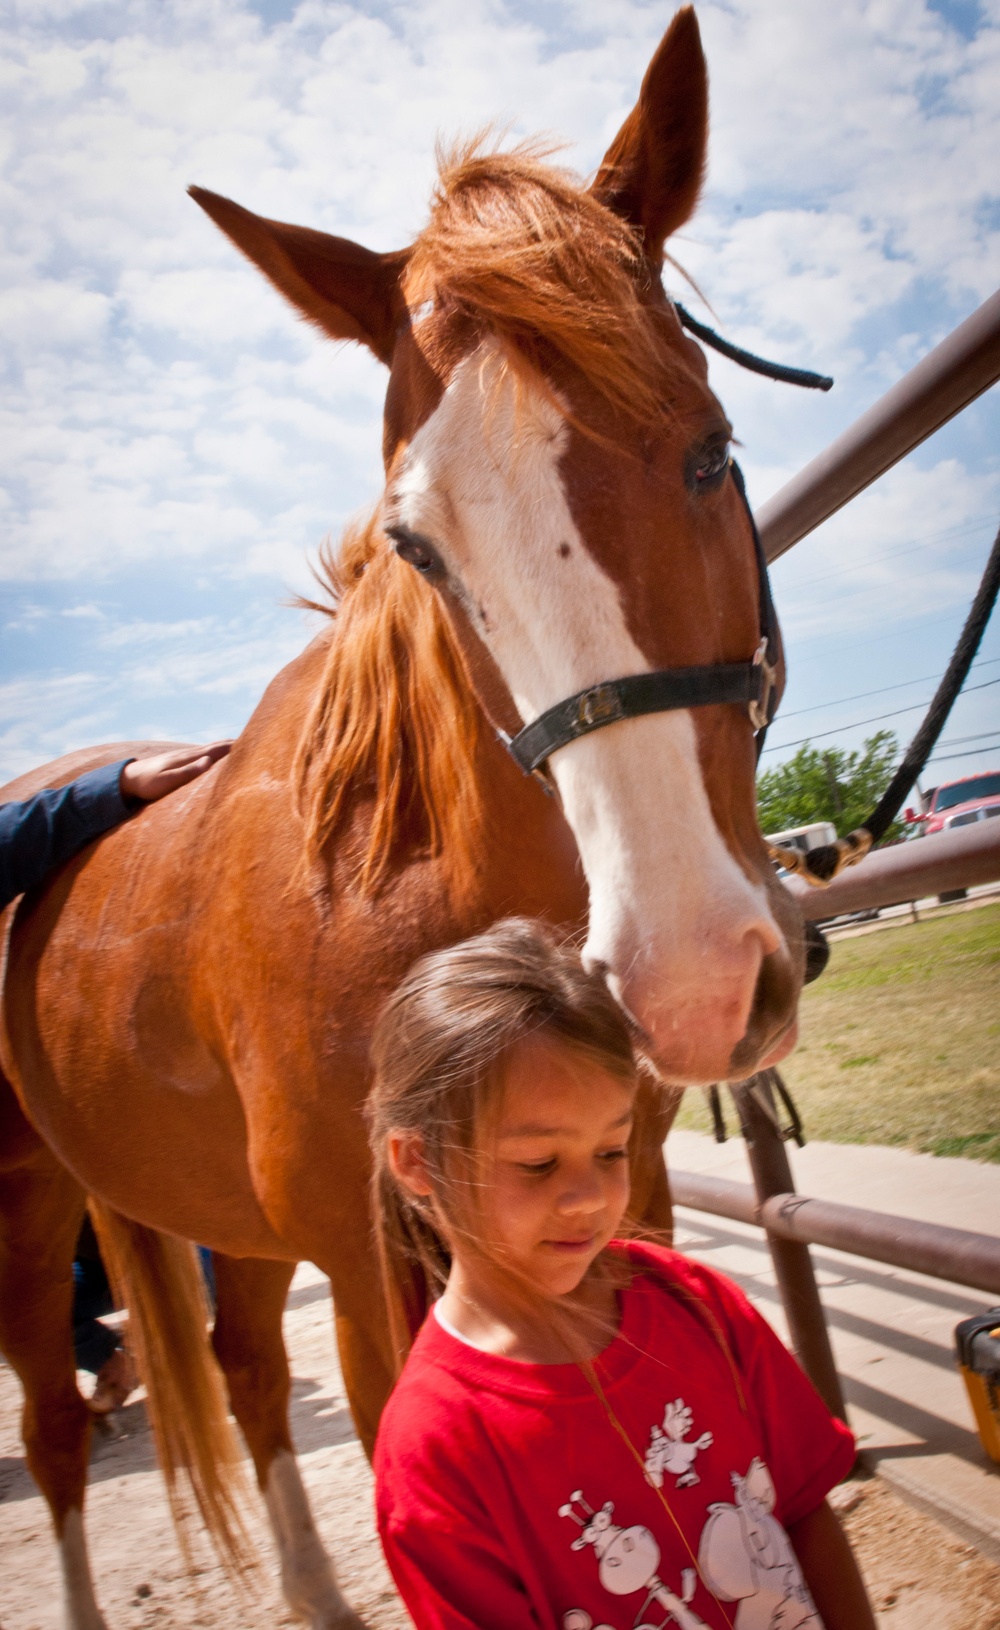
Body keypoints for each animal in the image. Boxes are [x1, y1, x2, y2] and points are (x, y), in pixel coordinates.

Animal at [0, 12, 802, 1630]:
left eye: (710, 446)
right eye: (416, 542)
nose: (689, 981)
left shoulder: (626, 1195)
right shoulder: (374, 1290)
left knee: (246, 1373)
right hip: (25, 1216)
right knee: (55, 1431)